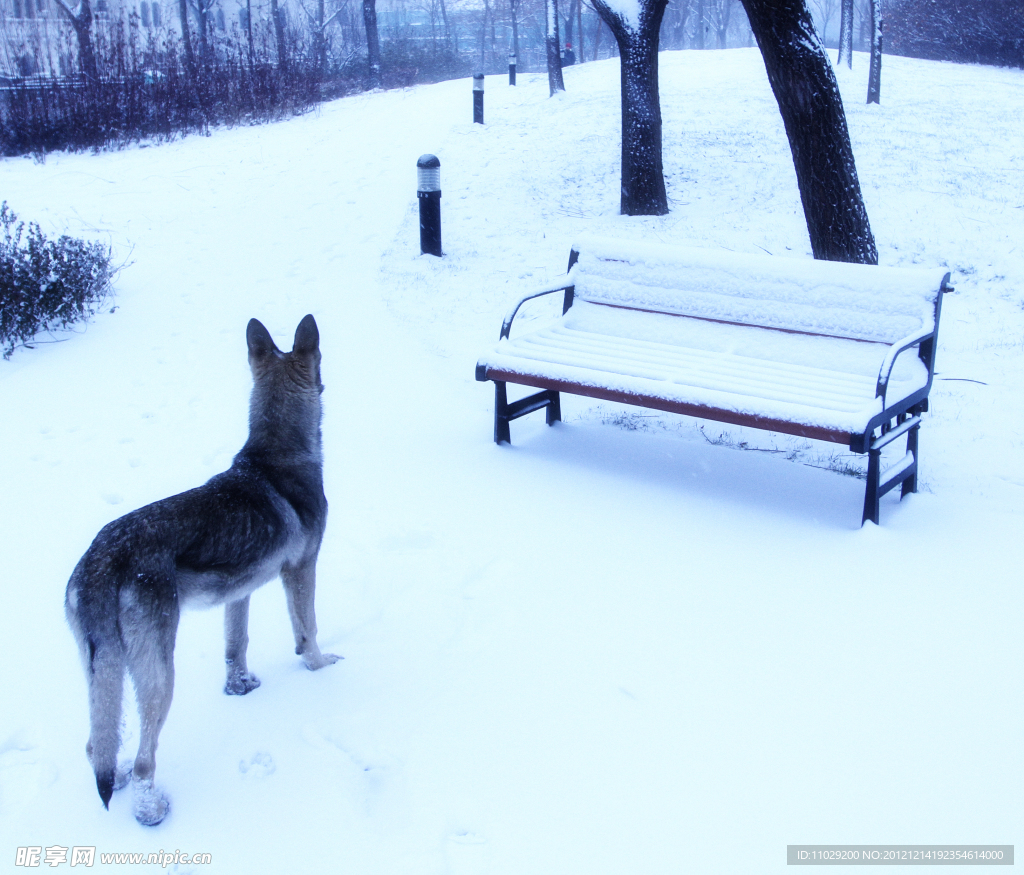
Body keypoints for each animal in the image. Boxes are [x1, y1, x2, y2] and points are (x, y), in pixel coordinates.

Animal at [65, 317, 339, 827]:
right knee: (144, 758)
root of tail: (98, 562)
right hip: (158, 673)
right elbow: (308, 630)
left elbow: (236, 645)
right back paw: (151, 811)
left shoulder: (240, 590)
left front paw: (240, 688)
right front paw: (321, 667)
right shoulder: (301, 568)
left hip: (105, 671)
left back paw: (122, 781)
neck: (278, 457)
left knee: (98, 747)